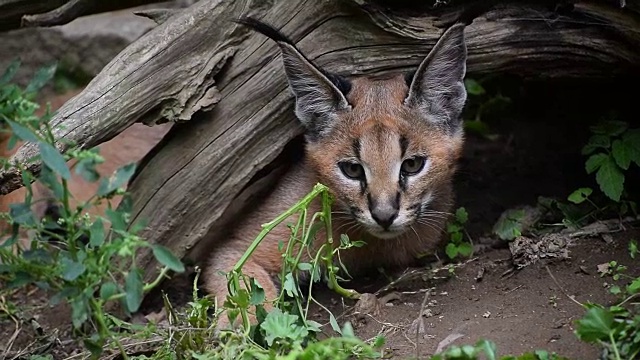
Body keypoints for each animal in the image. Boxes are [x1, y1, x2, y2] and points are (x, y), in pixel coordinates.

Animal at [205, 16, 470, 326]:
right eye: (352, 169)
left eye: (412, 165)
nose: (384, 216)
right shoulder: (233, 245)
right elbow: (240, 278)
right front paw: (248, 321)